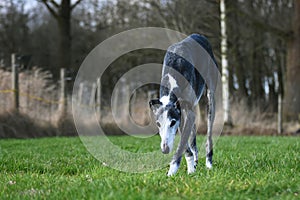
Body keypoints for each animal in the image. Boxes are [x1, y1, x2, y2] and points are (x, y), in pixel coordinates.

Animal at [149, 33, 218, 176]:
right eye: (158, 124)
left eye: (172, 122)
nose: (164, 149)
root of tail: (199, 35)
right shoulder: (182, 114)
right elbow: (185, 141)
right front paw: (190, 166)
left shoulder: (183, 114)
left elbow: (183, 141)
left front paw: (174, 168)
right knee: (192, 137)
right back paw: (195, 161)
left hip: (210, 98)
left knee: (208, 134)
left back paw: (209, 162)